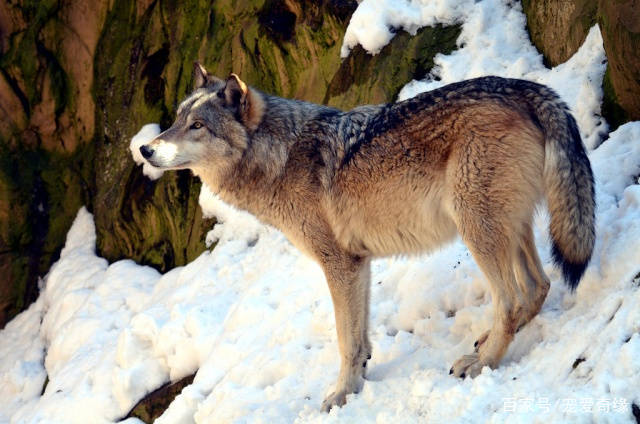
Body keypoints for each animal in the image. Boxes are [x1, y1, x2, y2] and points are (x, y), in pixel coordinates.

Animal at [140, 63, 596, 410]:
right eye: (177, 120)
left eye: (198, 126)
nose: (145, 149)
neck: (280, 157)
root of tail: (526, 87)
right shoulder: (359, 263)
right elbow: (359, 339)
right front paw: (357, 383)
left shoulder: (340, 264)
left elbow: (346, 340)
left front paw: (342, 394)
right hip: (507, 228)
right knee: (538, 287)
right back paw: (490, 341)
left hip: (478, 229)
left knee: (512, 299)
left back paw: (482, 362)